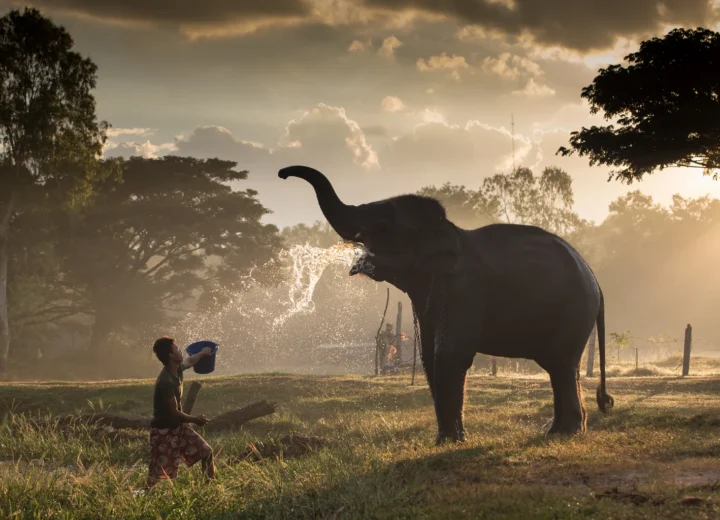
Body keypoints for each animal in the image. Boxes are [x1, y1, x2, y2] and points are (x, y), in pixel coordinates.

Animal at [278, 165, 614, 445]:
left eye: (384, 223)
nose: (282, 174)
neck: (448, 230)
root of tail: (596, 281)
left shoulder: (466, 291)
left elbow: (450, 352)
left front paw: (449, 442)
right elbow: (429, 354)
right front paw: (447, 439)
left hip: (574, 311)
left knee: (560, 362)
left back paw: (565, 433)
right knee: (560, 366)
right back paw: (560, 431)